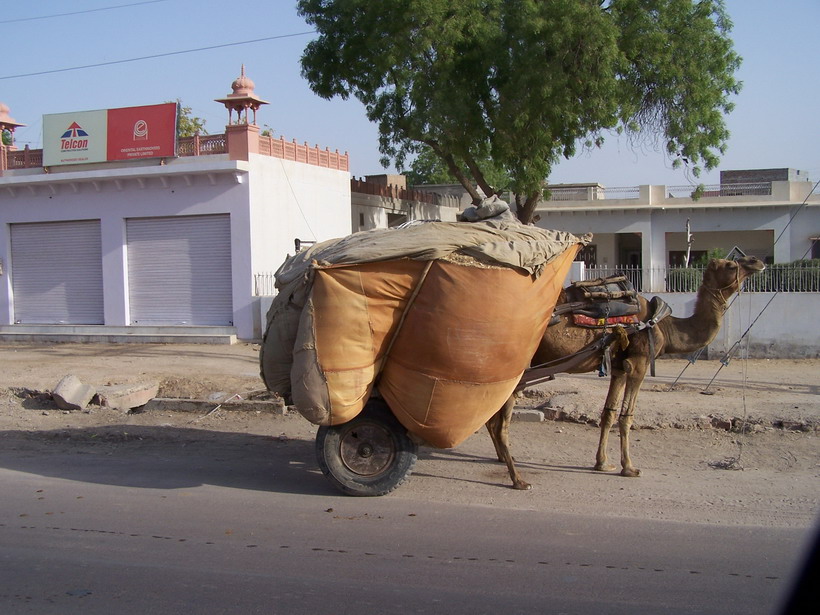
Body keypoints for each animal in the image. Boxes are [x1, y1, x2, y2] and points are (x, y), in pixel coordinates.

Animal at [484, 255, 764, 490]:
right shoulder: (639, 361)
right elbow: (627, 416)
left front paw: (602, 463)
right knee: (500, 422)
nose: (757, 261)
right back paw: (518, 479)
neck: (661, 324)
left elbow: (608, 413)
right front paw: (629, 467)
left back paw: (504, 461)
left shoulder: (618, 365)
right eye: (730, 264)